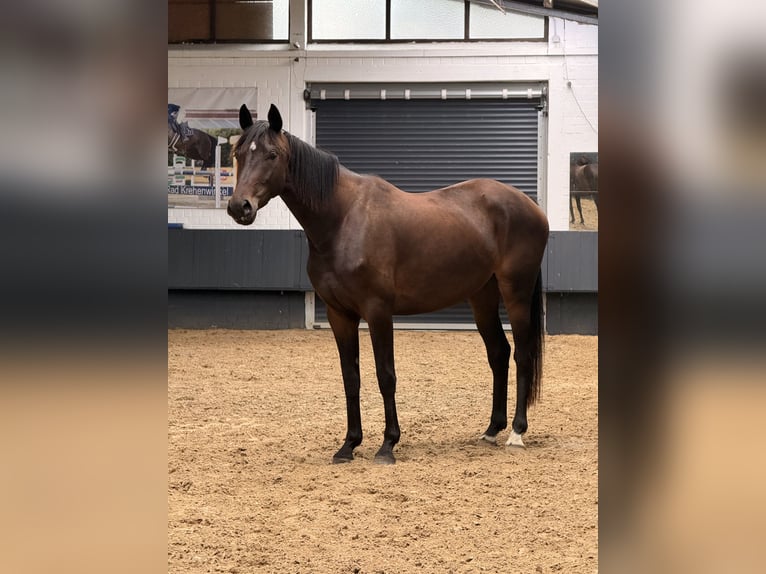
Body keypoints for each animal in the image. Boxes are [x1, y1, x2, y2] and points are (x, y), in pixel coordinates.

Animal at [227, 104, 549, 465]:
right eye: (238, 153)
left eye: (271, 155)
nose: (240, 207)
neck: (343, 219)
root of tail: (531, 206)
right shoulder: (339, 314)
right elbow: (351, 378)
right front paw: (348, 445)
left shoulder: (378, 311)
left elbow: (386, 375)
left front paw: (387, 445)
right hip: (482, 295)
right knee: (499, 353)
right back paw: (492, 429)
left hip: (515, 292)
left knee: (522, 354)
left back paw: (517, 432)